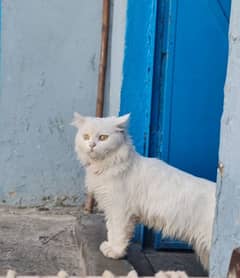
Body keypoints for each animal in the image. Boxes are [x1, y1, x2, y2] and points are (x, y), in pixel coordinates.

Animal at [72, 112, 217, 270]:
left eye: (103, 138)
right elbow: (111, 229)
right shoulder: (110, 208)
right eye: (86, 136)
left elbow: (118, 232)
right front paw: (110, 246)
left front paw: (115, 252)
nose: (91, 145)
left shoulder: (120, 210)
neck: (108, 166)